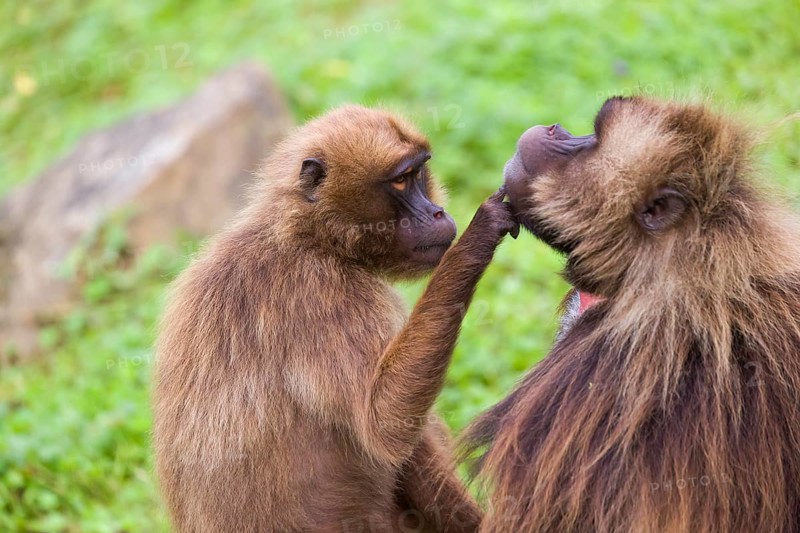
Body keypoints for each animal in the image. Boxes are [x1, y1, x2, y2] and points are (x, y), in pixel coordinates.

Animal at [152, 104, 518, 533]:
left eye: (419, 174)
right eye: (400, 181)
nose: (437, 212)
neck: (308, 237)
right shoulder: (323, 292)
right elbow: (384, 421)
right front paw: (482, 233)